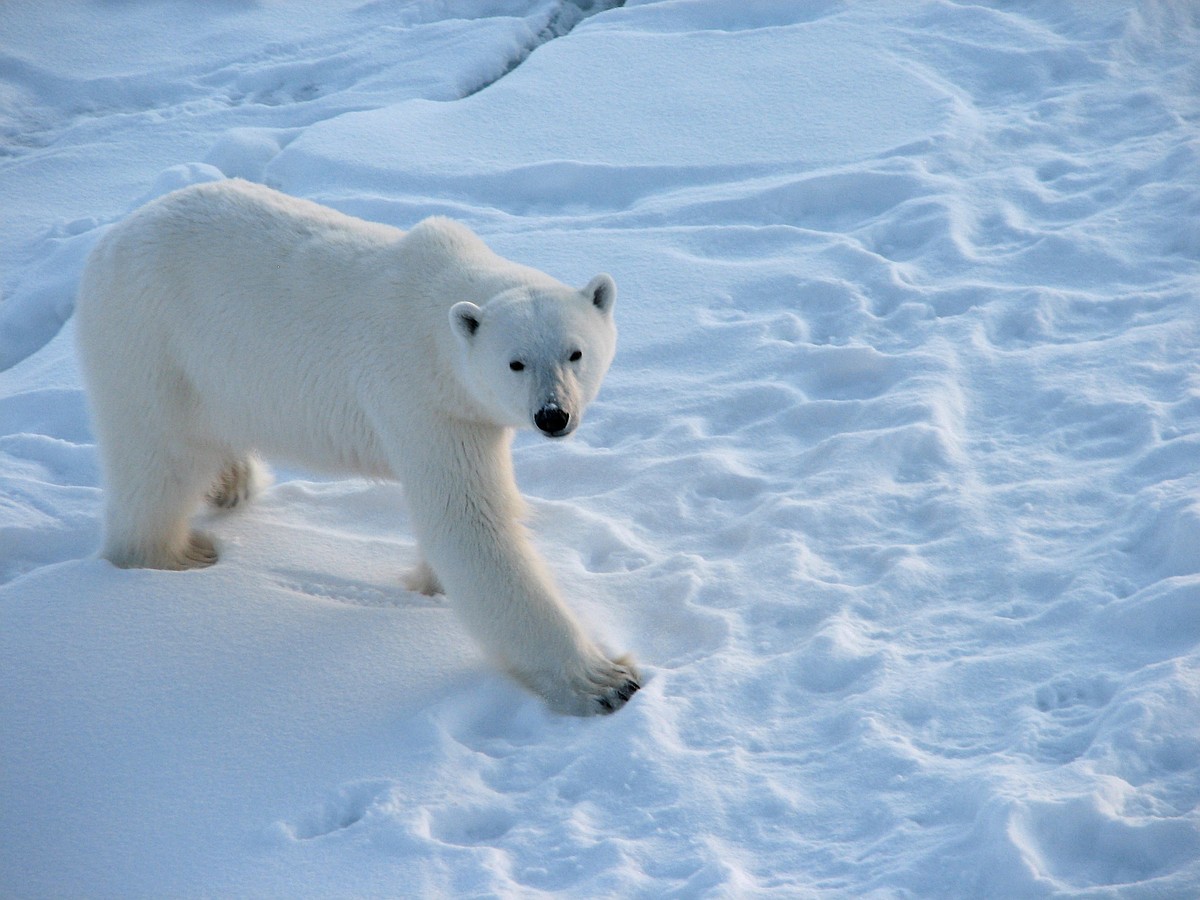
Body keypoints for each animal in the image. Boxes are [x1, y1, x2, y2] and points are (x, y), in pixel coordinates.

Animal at [73, 180, 638, 720]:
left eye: (575, 352)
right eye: (515, 362)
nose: (553, 415)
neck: (438, 325)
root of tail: (109, 240)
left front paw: (431, 584)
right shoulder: (422, 400)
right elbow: (470, 523)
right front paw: (605, 682)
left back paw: (232, 483)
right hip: (152, 343)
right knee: (158, 462)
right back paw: (177, 554)